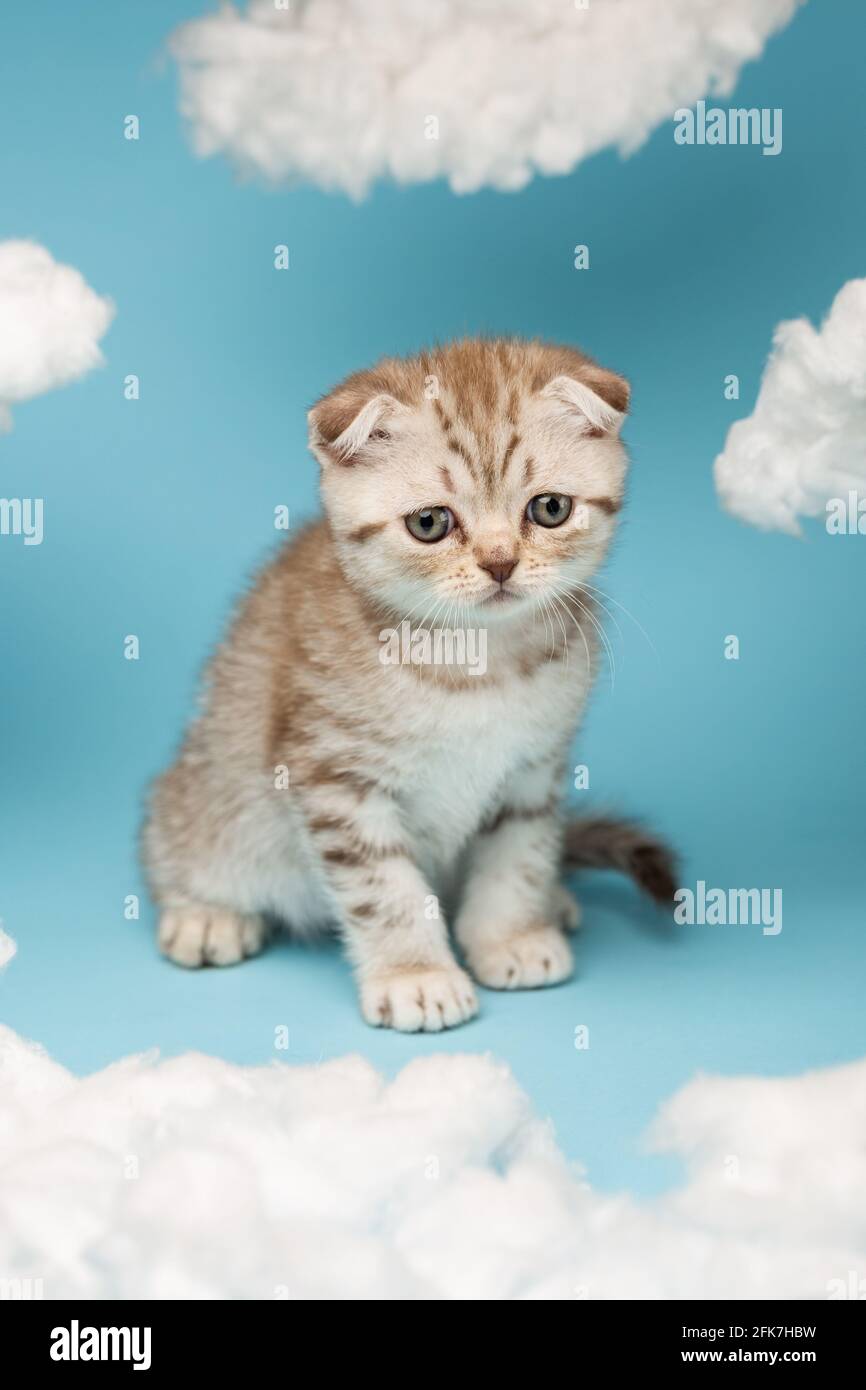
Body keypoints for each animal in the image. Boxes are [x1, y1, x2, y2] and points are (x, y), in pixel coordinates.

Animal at [142, 337, 675, 1034]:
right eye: (429, 523)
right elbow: (384, 888)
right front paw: (414, 975)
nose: (500, 563)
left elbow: (519, 853)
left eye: (550, 509)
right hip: (208, 792)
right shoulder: (335, 777)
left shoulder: (535, 769)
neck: (477, 663)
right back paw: (205, 911)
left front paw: (509, 934)